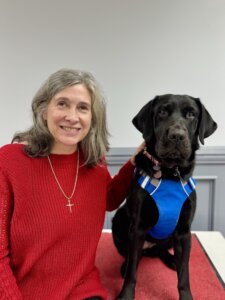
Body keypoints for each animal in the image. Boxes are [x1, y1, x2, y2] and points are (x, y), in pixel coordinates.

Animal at [111, 94, 217, 300]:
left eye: (191, 114)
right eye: (162, 112)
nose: (176, 135)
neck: (169, 174)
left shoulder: (183, 231)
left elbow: (184, 275)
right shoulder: (137, 228)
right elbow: (132, 273)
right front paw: (125, 294)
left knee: (162, 250)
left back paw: (171, 260)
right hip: (120, 219)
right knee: (131, 256)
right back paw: (124, 265)